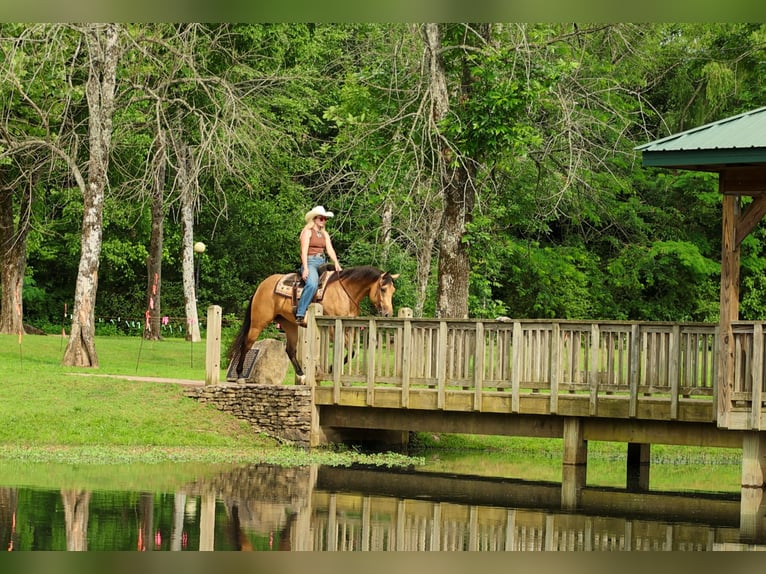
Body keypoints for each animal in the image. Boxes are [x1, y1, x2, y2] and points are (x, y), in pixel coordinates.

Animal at [228, 265, 399, 380]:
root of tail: (262, 285)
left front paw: (331, 369)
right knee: (247, 344)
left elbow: (352, 351)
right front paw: (330, 368)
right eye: (383, 289)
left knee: (290, 350)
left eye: (393, 291)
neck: (345, 292)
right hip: (258, 322)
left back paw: (302, 374)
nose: (388, 313)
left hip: (290, 325)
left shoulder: (347, 329)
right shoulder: (332, 328)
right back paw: (240, 373)